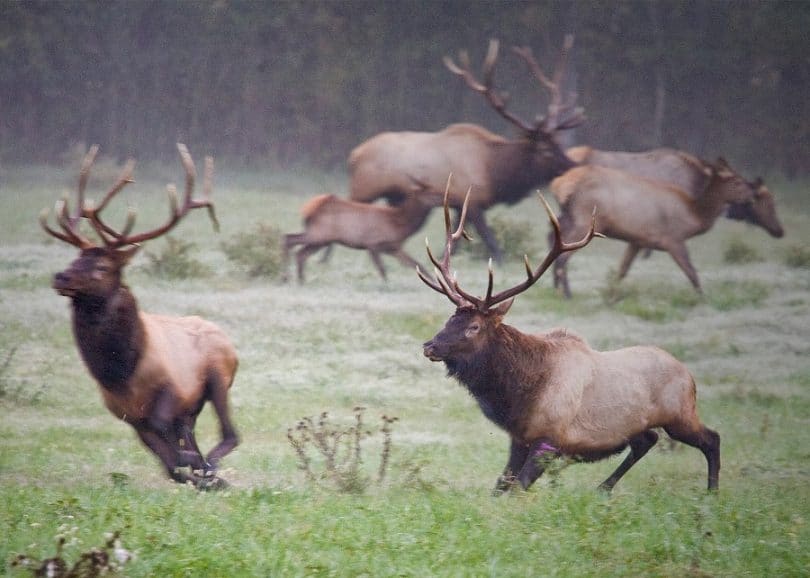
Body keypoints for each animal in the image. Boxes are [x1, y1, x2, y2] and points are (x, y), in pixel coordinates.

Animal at [40, 143, 239, 489]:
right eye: (76, 257)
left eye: (102, 266)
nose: (61, 276)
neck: (120, 373)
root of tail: (228, 341)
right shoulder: (127, 415)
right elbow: (169, 463)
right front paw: (194, 469)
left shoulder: (174, 389)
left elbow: (169, 439)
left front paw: (197, 464)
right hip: (192, 407)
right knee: (188, 440)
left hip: (219, 376)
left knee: (230, 433)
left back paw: (210, 464)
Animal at [282, 186, 435, 283]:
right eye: (430, 193)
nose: (441, 195)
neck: (400, 225)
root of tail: (308, 209)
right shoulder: (373, 244)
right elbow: (382, 268)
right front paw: (386, 285)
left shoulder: (394, 248)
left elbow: (417, 264)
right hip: (319, 235)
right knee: (289, 239)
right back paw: (286, 277)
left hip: (321, 239)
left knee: (300, 253)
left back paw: (299, 279)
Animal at [349, 36, 583, 262]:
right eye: (546, 150)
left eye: (559, 144)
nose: (573, 164)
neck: (494, 171)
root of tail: (354, 155)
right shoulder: (471, 200)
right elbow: (489, 239)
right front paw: (499, 262)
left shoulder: (461, 206)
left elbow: (455, 241)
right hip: (363, 190)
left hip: (390, 196)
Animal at [418, 190, 720, 494]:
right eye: (450, 318)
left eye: (474, 327)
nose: (429, 346)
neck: (520, 394)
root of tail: (689, 376)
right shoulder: (520, 438)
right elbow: (500, 485)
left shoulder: (550, 438)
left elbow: (518, 487)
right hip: (642, 424)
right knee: (647, 440)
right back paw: (603, 489)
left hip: (680, 415)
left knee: (712, 438)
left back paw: (711, 493)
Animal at [549, 158, 759, 297]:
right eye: (737, 181)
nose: (754, 193)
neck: (693, 217)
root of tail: (560, 185)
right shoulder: (673, 239)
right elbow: (691, 272)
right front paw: (702, 298)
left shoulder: (638, 240)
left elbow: (622, 271)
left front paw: (612, 295)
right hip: (585, 220)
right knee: (562, 258)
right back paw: (566, 294)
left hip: (571, 218)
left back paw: (557, 288)